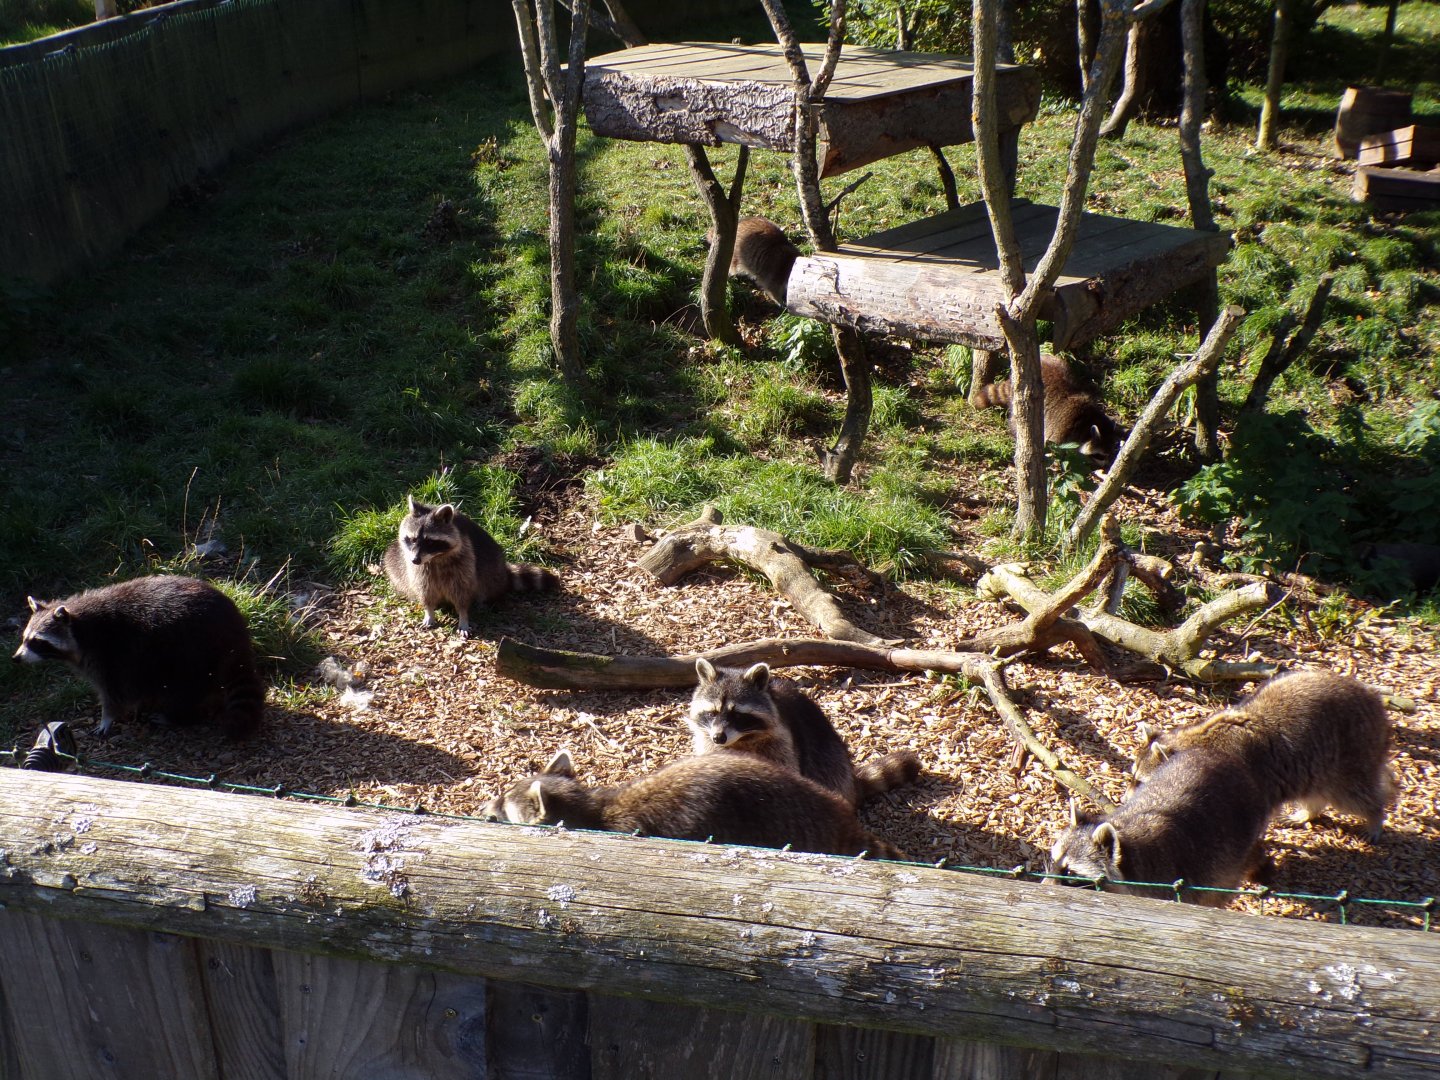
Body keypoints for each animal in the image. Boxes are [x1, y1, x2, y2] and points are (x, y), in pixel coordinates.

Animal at [12, 575, 264, 740]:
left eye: (37, 642)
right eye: (24, 638)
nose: (16, 658)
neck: (79, 626)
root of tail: (235, 633)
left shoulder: (110, 656)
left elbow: (113, 693)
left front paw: (107, 718)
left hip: (192, 653)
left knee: (186, 688)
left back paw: (180, 715)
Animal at [383, 496, 559, 638]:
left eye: (430, 542)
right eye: (412, 539)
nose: (415, 560)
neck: (435, 558)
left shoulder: (465, 561)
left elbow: (462, 593)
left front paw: (463, 617)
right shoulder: (418, 569)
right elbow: (425, 591)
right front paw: (429, 612)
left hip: (492, 566)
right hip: (395, 557)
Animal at [687, 659, 921, 808]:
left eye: (737, 715)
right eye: (712, 712)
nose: (719, 737)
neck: (740, 739)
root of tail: (852, 784)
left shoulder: (782, 744)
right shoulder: (709, 743)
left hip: (831, 759)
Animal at [971, 352, 1123, 460]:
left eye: (1111, 454)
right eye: (1100, 456)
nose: (1107, 467)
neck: (1087, 421)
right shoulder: (1062, 430)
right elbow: (1055, 448)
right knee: (1017, 420)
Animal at [1133, 670, 1396, 840]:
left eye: (1140, 782)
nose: (1126, 802)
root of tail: (1373, 699)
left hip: (1352, 754)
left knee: (1355, 794)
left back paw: (1375, 816)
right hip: (1316, 766)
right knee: (1314, 791)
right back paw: (1309, 811)